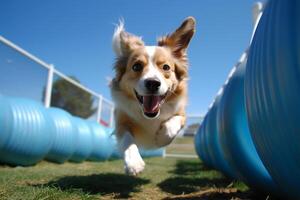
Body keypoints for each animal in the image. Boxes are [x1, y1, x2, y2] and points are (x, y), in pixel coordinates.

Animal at [109, 16, 195, 175]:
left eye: (166, 67)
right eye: (136, 66)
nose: (153, 83)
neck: (151, 116)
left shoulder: (181, 114)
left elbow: (173, 124)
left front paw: (161, 138)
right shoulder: (121, 122)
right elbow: (127, 139)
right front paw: (134, 163)